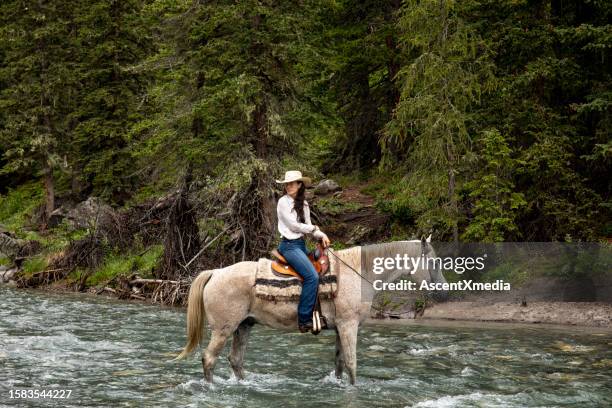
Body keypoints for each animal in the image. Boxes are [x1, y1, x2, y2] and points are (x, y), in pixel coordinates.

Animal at [175, 237, 448, 384]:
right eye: (434, 261)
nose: (444, 290)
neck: (359, 274)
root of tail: (216, 273)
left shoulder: (340, 328)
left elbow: (339, 363)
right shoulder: (349, 326)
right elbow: (352, 363)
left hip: (244, 326)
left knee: (236, 360)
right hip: (223, 329)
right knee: (209, 358)